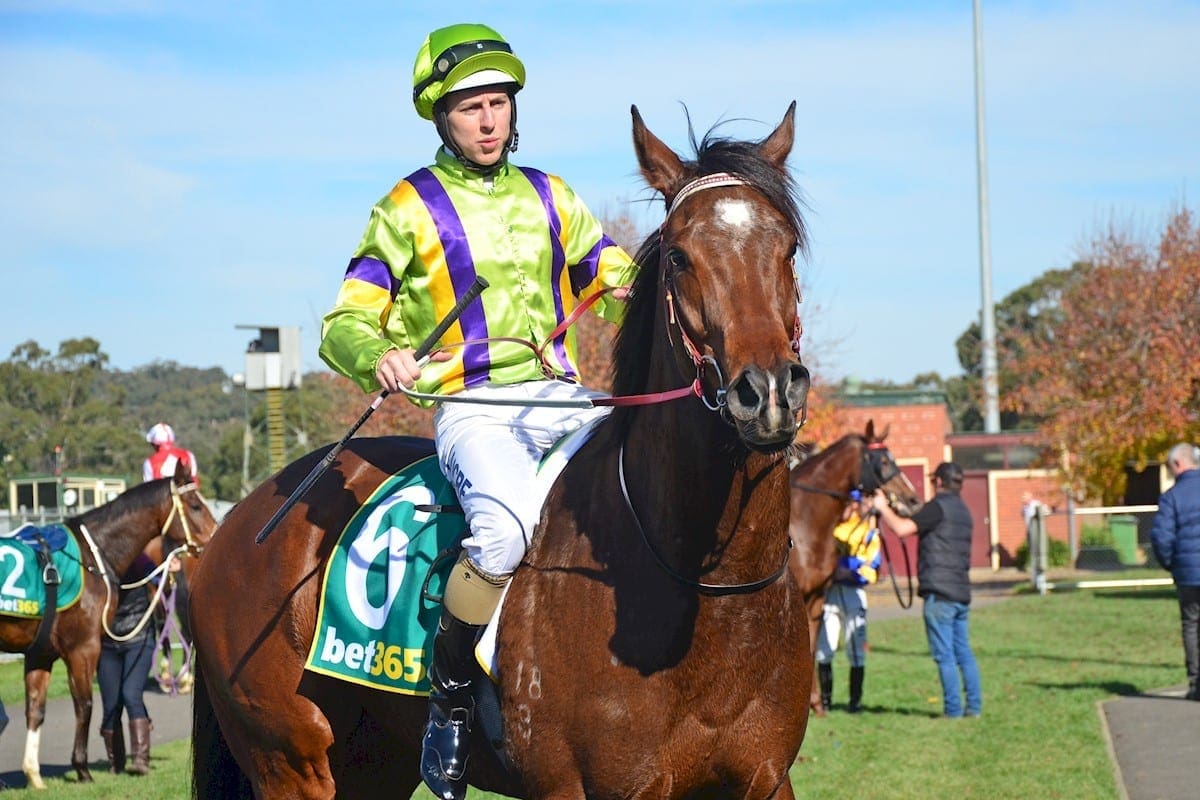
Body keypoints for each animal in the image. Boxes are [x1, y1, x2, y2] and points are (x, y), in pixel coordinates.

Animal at [0, 459, 216, 789]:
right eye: (194, 505)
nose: (218, 536)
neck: (92, 555)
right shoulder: (83, 648)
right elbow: (85, 704)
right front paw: (82, 768)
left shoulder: (40, 653)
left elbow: (35, 709)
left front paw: (34, 775)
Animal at [190, 101, 812, 800]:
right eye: (679, 257)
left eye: (787, 246)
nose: (767, 392)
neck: (709, 595)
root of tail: (231, 529)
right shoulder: (573, 787)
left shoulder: (766, 778)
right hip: (292, 763)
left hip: (372, 763)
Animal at [787, 420, 922, 715]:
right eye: (883, 461)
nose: (912, 500)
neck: (803, 527)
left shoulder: (817, 599)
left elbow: (811, 648)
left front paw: (815, 704)